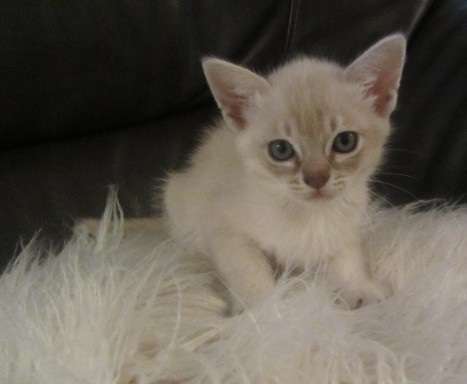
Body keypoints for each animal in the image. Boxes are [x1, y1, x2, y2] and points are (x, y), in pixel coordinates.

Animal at [162, 34, 406, 310]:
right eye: (280, 149)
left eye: (345, 142)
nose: (316, 179)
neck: (308, 216)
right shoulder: (225, 230)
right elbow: (250, 272)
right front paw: (265, 309)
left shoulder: (345, 226)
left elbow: (348, 258)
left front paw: (359, 288)